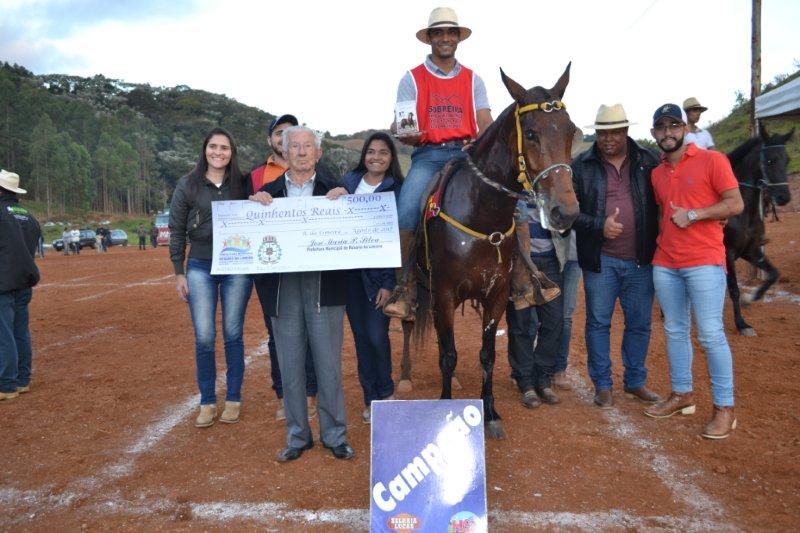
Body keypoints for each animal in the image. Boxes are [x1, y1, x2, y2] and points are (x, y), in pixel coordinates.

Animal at [410, 64, 580, 438]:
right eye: (530, 133)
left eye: (571, 131)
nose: (565, 212)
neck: (481, 214)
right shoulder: (444, 294)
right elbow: (449, 355)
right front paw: (444, 409)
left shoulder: (497, 295)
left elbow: (487, 356)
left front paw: (490, 413)